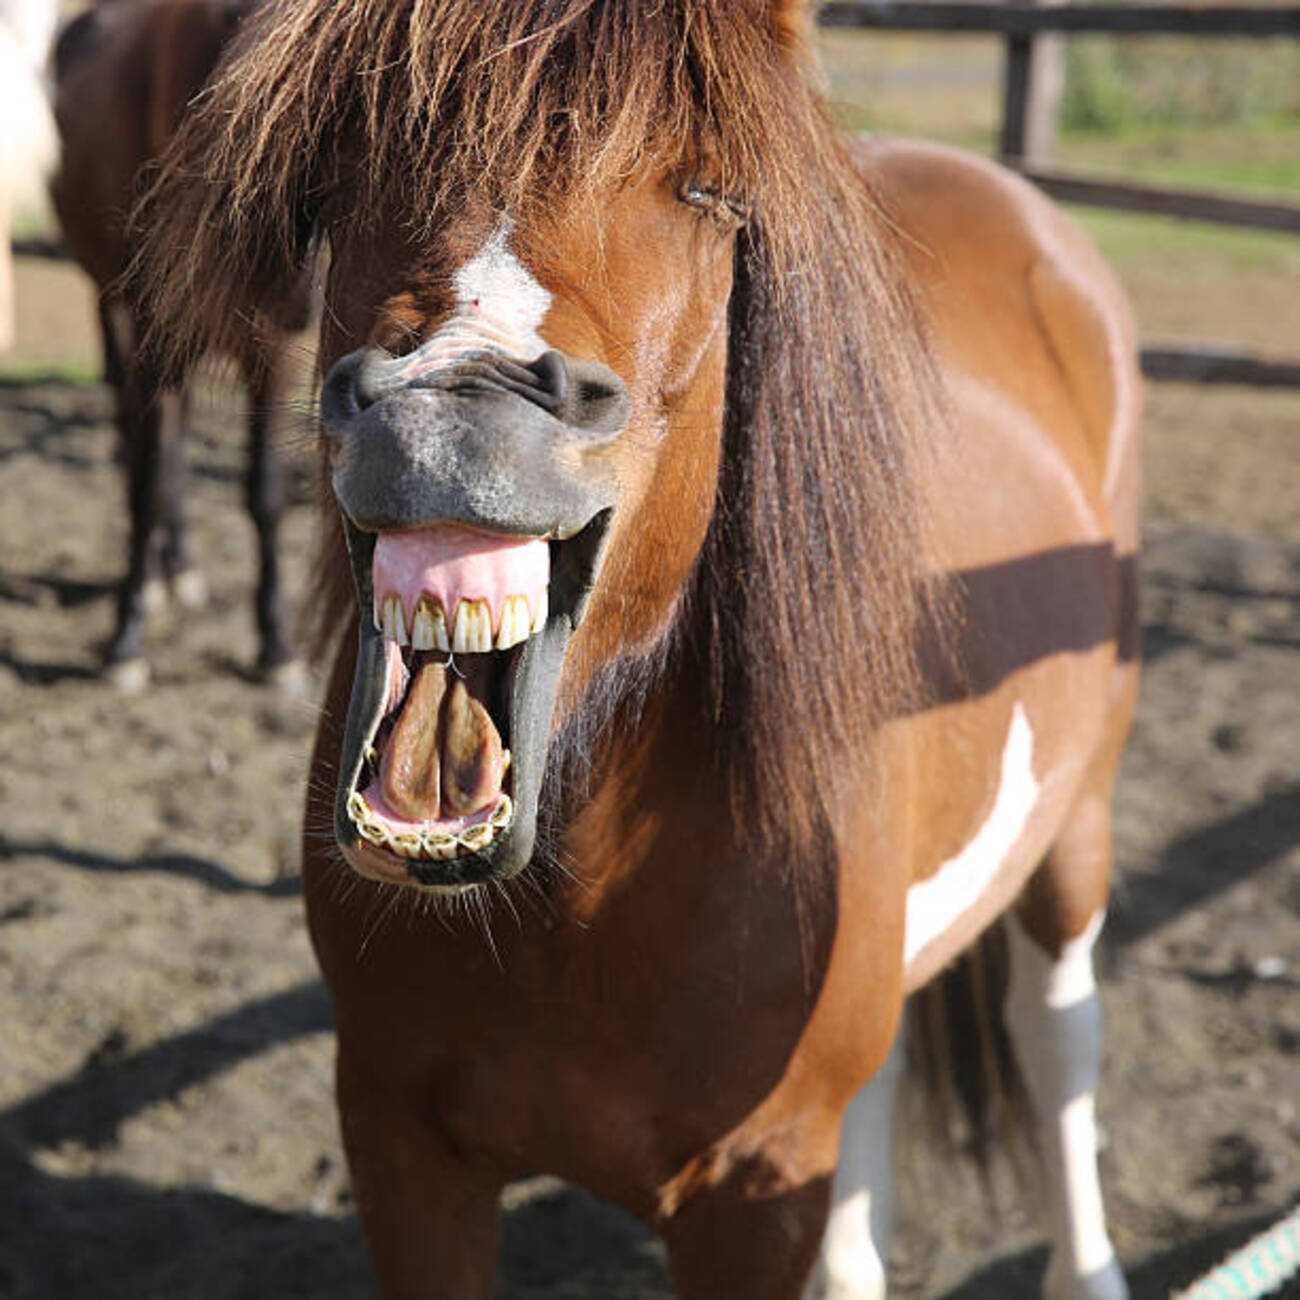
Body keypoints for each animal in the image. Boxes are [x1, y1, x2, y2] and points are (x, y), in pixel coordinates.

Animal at [49, 0, 310, 690]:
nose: (297, 289)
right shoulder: (152, 334)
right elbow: (146, 479)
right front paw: (128, 631)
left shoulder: (273, 352)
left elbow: (264, 494)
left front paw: (276, 643)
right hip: (112, 308)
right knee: (142, 438)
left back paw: (182, 563)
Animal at [136, 1, 1141, 1295]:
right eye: (350, 162)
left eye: (707, 189)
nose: (457, 405)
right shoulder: (400, 1143)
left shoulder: (752, 1189)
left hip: (1076, 823)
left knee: (1056, 1035)